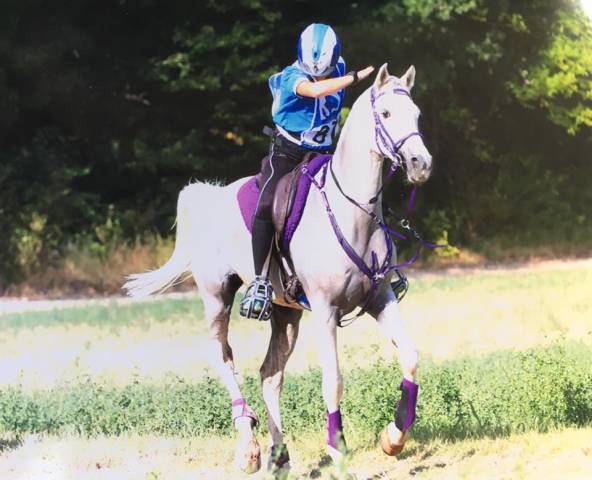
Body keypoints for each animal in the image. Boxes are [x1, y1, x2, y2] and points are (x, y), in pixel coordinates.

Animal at [123, 62, 430, 472]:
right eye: (385, 114)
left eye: (416, 114)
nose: (421, 164)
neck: (353, 213)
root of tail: (210, 199)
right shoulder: (325, 310)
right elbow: (333, 380)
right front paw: (338, 449)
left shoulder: (380, 299)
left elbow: (410, 357)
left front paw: (394, 437)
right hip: (217, 297)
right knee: (223, 358)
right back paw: (248, 447)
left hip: (286, 314)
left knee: (269, 375)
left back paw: (279, 455)